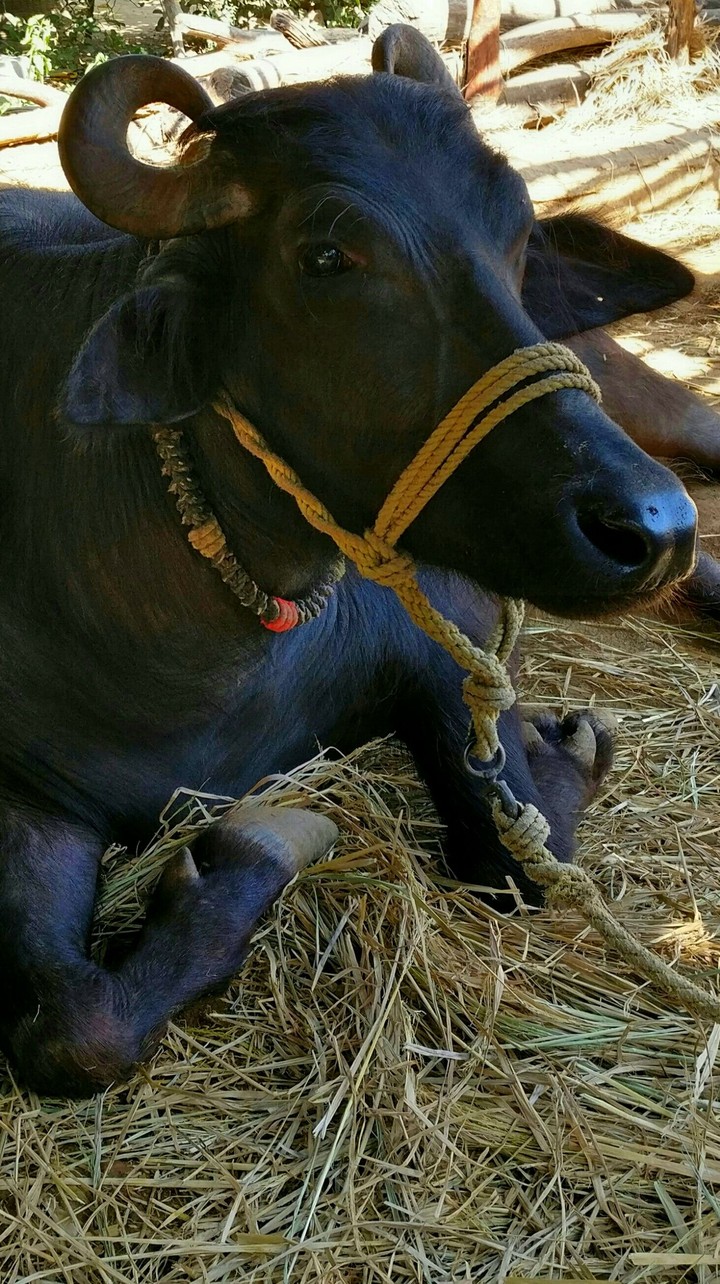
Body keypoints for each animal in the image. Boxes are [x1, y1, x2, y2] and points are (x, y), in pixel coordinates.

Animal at [0, 25, 716, 1095]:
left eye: (517, 230)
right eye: (326, 256)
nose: (652, 529)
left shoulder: (435, 649)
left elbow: (514, 851)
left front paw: (564, 751)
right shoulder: (26, 799)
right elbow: (75, 1026)